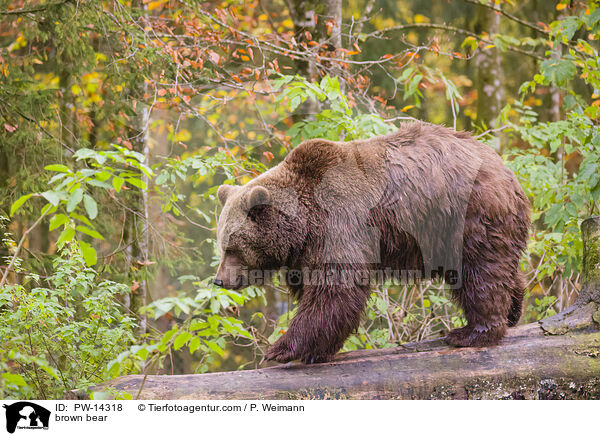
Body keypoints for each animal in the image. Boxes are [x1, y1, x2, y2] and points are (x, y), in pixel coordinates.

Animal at [213, 122, 528, 364]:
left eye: (232, 248)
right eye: (222, 244)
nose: (219, 280)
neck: (303, 225)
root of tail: (506, 170)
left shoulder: (340, 222)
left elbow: (335, 290)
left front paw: (281, 349)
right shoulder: (307, 251)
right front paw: (315, 349)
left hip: (464, 215)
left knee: (479, 272)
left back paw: (471, 332)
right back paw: (513, 311)